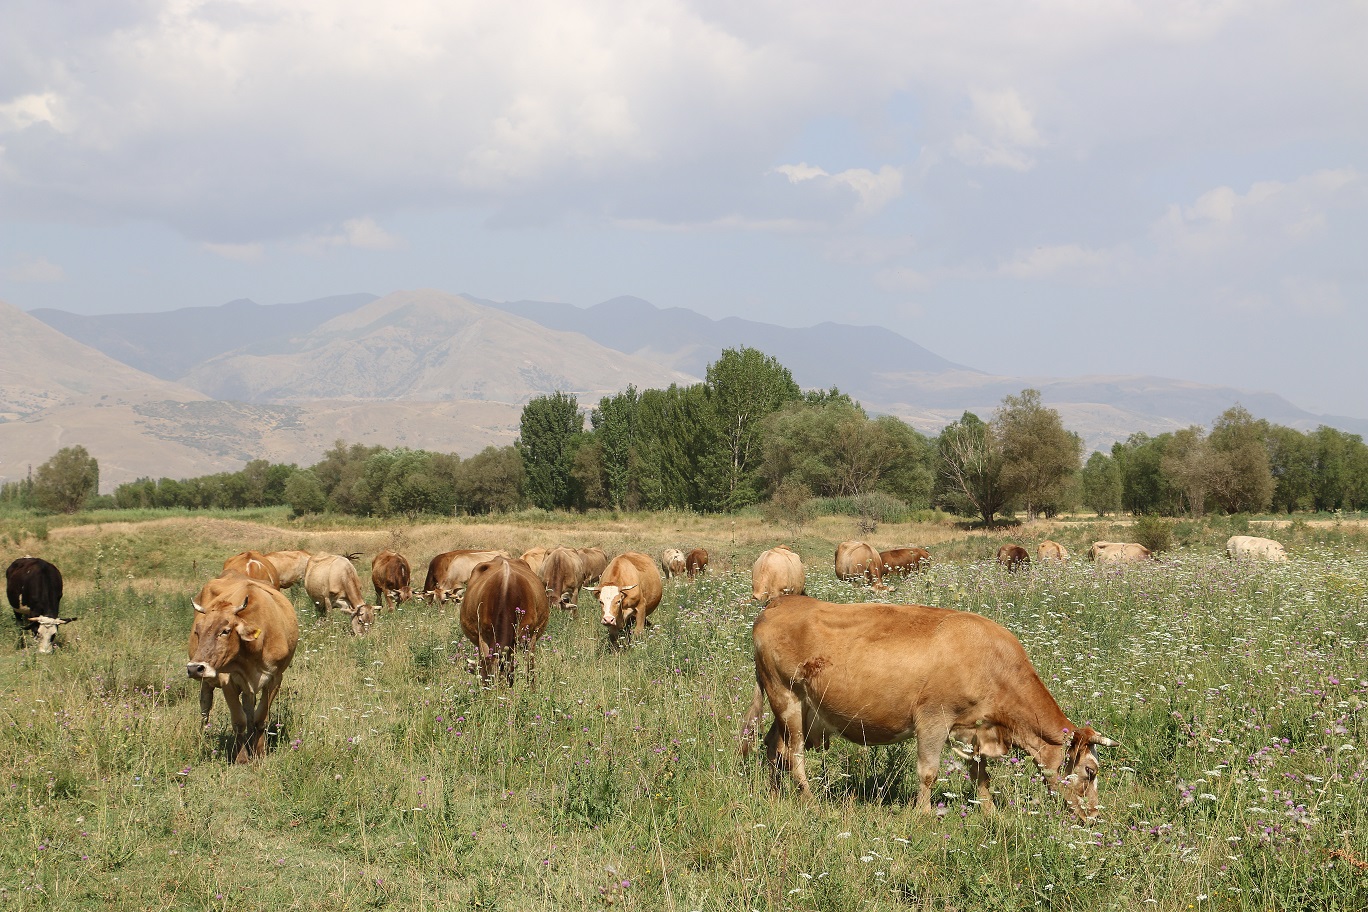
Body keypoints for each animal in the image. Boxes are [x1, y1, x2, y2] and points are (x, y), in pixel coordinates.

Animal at [187, 577, 299, 765]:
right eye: (197, 631)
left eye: (225, 631)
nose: (194, 668)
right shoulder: (227, 679)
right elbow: (239, 721)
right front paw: (241, 758)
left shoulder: (275, 678)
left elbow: (260, 717)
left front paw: (259, 752)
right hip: (207, 682)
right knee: (205, 705)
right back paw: (204, 735)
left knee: (249, 708)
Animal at [744, 596, 1116, 825]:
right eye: (1090, 772)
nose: (1094, 817)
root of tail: (780, 602)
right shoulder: (934, 718)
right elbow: (928, 772)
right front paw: (922, 815)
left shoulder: (971, 729)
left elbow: (980, 775)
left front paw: (992, 815)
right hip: (786, 697)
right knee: (793, 754)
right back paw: (810, 802)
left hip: (794, 708)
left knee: (774, 746)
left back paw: (775, 796)